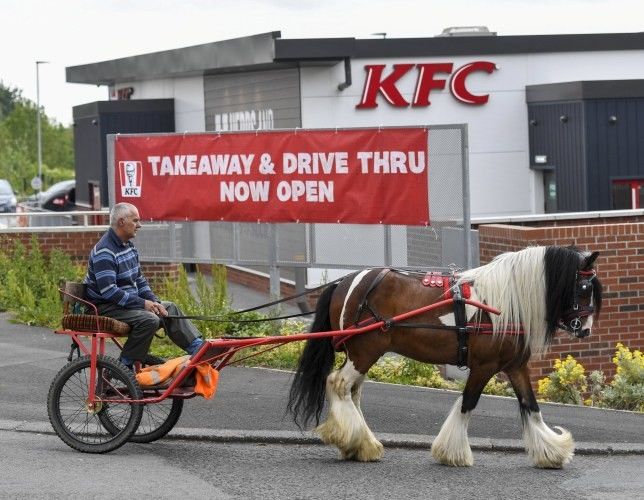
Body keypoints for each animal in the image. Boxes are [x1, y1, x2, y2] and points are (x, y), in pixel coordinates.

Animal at [286, 246, 600, 468]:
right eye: (584, 288)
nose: (585, 329)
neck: (503, 303)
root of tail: (344, 282)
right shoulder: (484, 365)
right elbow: (468, 403)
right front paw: (453, 453)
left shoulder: (515, 366)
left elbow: (530, 406)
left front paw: (552, 452)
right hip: (365, 352)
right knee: (338, 384)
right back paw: (353, 439)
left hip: (362, 354)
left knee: (352, 391)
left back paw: (362, 444)